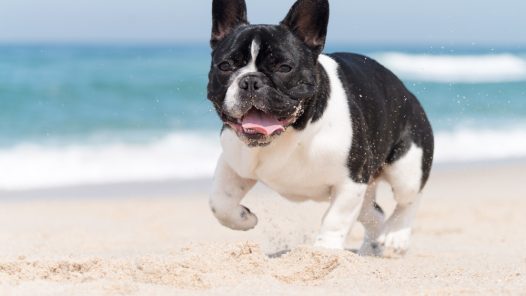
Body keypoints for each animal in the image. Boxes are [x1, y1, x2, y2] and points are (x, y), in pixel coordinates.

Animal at [208, 0, 436, 254]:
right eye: (225, 66)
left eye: (284, 67)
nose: (250, 80)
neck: (290, 134)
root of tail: (408, 93)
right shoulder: (233, 162)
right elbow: (219, 200)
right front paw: (243, 218)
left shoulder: (351, 181)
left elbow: (335, 218)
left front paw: (323, 252)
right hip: (368, 189)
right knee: (374, 214)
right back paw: (370, 250)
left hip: (406, 167)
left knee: (410, 199)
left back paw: (397, 237)